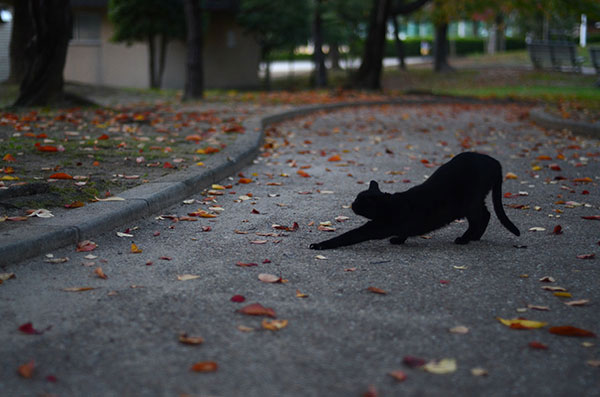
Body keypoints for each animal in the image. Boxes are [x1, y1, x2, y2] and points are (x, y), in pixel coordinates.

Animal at [310, 150, 520, 249]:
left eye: (360, 201)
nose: (352, 204)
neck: (390, 204)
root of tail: (495, 162)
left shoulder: (376, 227)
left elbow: (349, 236)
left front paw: (320, 245)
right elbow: (404, 232)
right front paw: (399, 240)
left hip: (469, 202)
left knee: (481, 217)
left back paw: (465, 239)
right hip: (475, 201)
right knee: (486, 215)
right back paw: (474, 237)